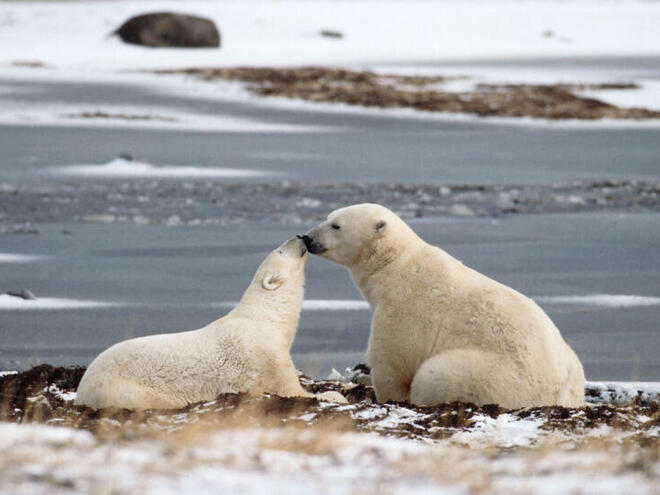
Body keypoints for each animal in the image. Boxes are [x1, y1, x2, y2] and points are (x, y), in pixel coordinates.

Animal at [74, 237, 346, 410]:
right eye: (279, 250)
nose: (300, 236)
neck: (264, 316)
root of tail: (81, 390)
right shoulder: (265, 356)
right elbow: (289, 388)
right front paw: (335, 395)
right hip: (124, 388)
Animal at [302, 203, 584, 408]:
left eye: (336, 225)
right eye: (328, 217)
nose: (307, 237)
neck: (395, 265)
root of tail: (558, 395)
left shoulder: (403, 308)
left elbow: (392, 361)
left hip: (496, 377)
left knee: (436, 374)